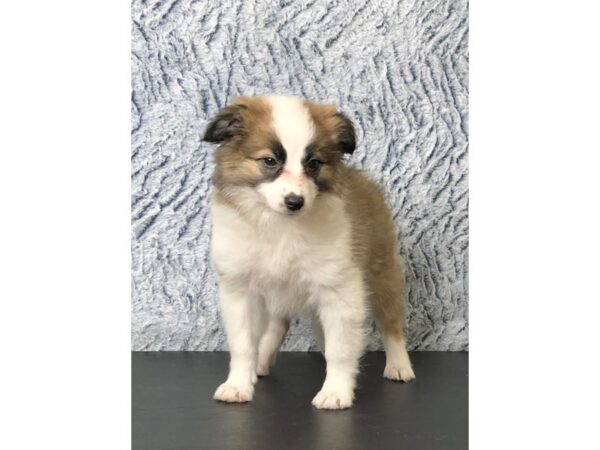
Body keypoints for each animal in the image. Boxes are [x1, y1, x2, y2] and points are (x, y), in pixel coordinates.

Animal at [204, 96, 414, 412]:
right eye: (269, 161)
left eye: (314, 163)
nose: (295, 202)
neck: (280, 226)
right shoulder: (240, 290)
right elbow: (242, 344)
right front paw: (238, 384)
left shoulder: (340, 290)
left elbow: (341, 349)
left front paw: (336, 391)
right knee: (277, 324)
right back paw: (261, 362)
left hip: (382, 274)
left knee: (391, 322)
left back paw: (399, 365)